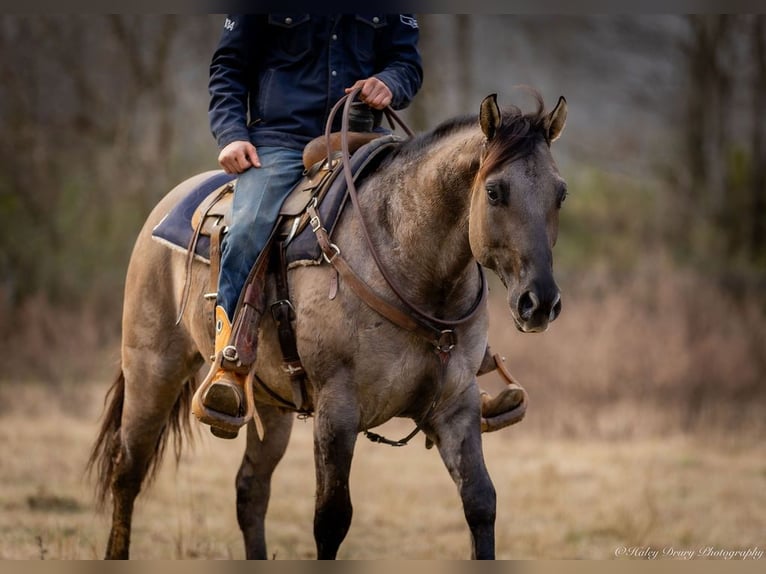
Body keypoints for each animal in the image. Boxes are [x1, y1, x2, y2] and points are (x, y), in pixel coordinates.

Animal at [88, 91, 568, 564]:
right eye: (494, 191)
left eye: (560, 194)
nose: (540, 302)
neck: (411, 264)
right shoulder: (337, 410)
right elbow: (332, 518)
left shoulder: (456, 405)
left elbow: (480, 502)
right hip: (153, 370)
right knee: (127, 471)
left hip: (270, 402)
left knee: (250, 490)